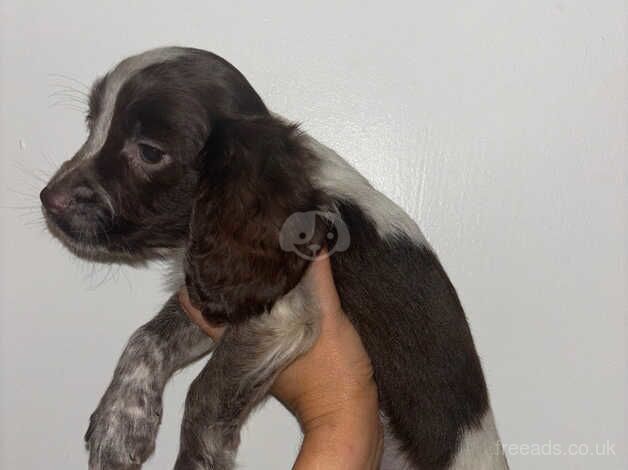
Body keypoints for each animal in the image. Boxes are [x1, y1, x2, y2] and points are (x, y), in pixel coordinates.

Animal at [40, 46, 510, 470]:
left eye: (150, 152)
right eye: (92, 125)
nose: (48, 200)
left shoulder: (280, 316)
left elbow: (204, 393)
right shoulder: (217, 298)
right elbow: (146, 338)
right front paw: (119, 423)